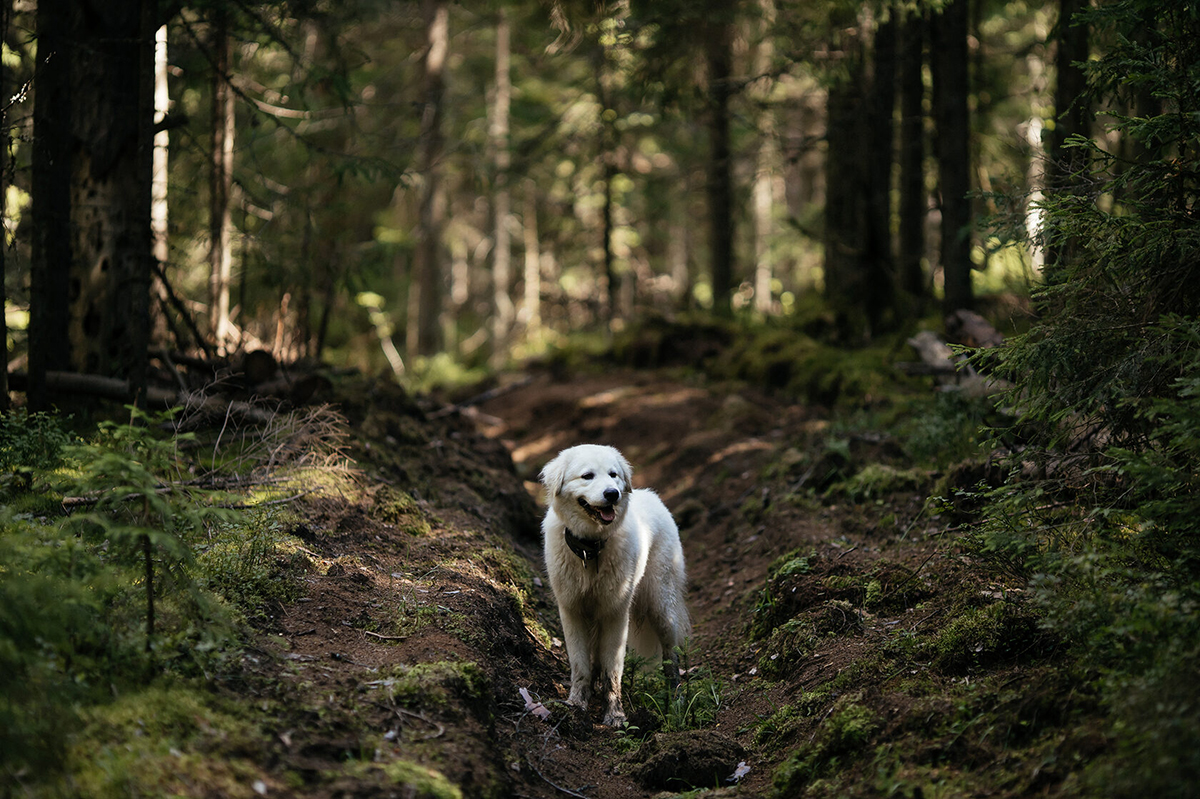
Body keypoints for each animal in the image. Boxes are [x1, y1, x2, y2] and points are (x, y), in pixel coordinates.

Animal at [540, 441, 691, 729]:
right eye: (587, 476)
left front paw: (615, 715)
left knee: (671, 657)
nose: (613, 494)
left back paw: (676, 701)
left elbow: (613, 671)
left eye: (613, 475)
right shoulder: (572, 612)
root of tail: (652, 496)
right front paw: (576, 705)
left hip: (661, 609)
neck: (590, 551)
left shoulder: (615, 614)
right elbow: (581, 666)